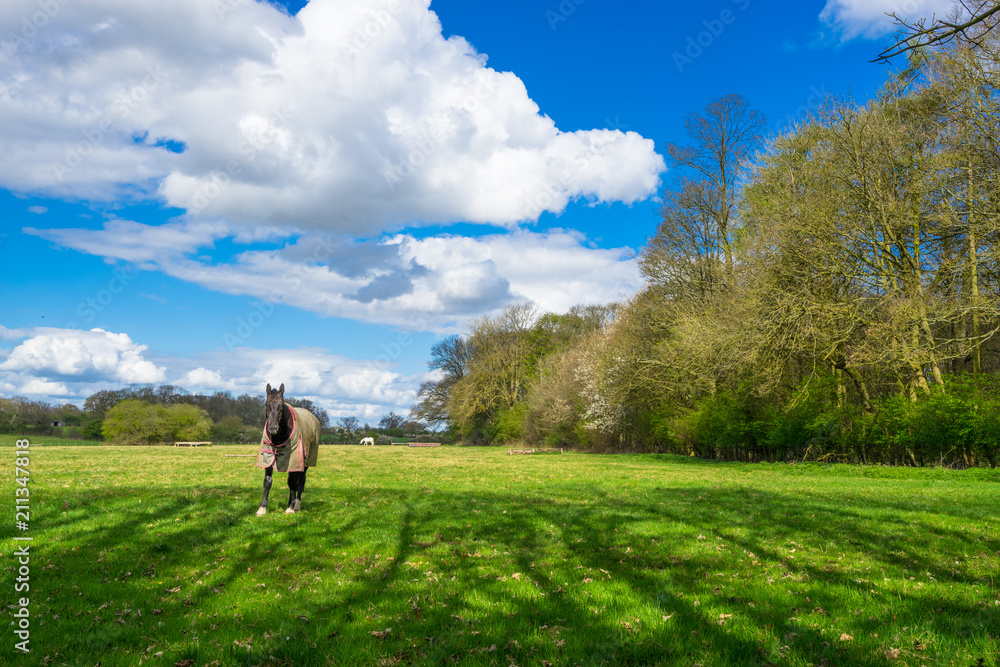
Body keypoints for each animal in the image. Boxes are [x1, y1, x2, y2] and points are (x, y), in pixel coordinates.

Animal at [258, 380, 320, 516]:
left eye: (281, 405)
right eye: (266, 404)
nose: (272, 428)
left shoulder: (293, 459)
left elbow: (292, 482)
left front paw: (290, 507)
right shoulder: (268, 456)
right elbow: (267, 481)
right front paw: (262, 508)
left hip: (306, 462)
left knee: (301, 480)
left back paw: (296, 504)